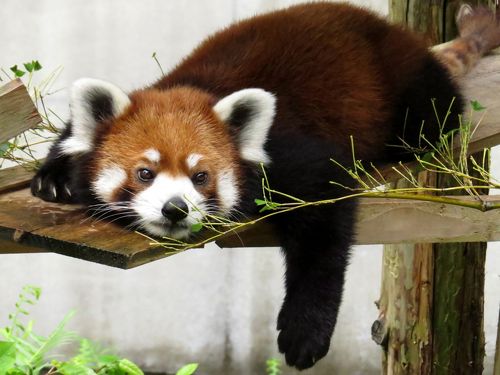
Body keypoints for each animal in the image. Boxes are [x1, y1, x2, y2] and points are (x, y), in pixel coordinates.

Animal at [31, 2, 500, 372]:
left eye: (201, 177)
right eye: (145, 173)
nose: (175, 208)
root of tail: (396, 32)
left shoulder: (292, 155)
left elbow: (324, 237)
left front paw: (304, 332)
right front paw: (53, 176)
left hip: (410, 93)